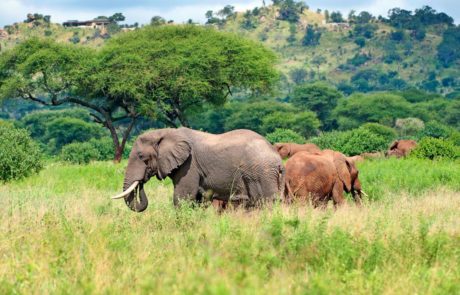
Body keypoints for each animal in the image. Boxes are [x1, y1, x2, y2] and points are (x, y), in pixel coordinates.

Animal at [111, 128, 284, 212]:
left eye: (141, 157)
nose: (141, 181)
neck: (165, 132)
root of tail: (279, 162)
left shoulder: (189, 165)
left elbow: (182, 197)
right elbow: (196, 200)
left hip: (261, 173)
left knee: (264, 202)